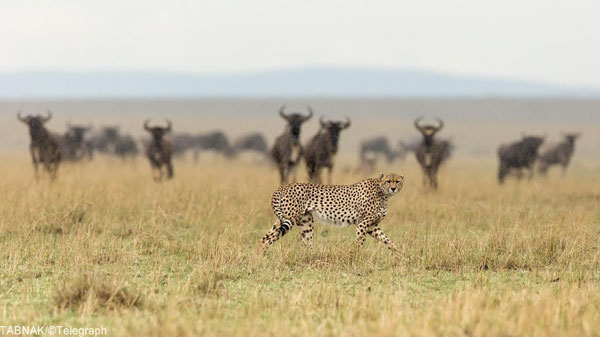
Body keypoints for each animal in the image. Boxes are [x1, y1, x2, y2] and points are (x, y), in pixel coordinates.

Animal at [262, 173, 406, 249]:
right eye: (388, 181)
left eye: (397, 181)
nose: (393, 188)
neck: (383, 193)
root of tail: (284, 186)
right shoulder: (363, 223)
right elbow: (360, 242)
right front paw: (358, 255)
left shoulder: (372, 226)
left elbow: (388, 240)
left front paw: (399, 253)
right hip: (290, 219)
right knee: (269, 237)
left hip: (304, 222)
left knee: (267, 238)